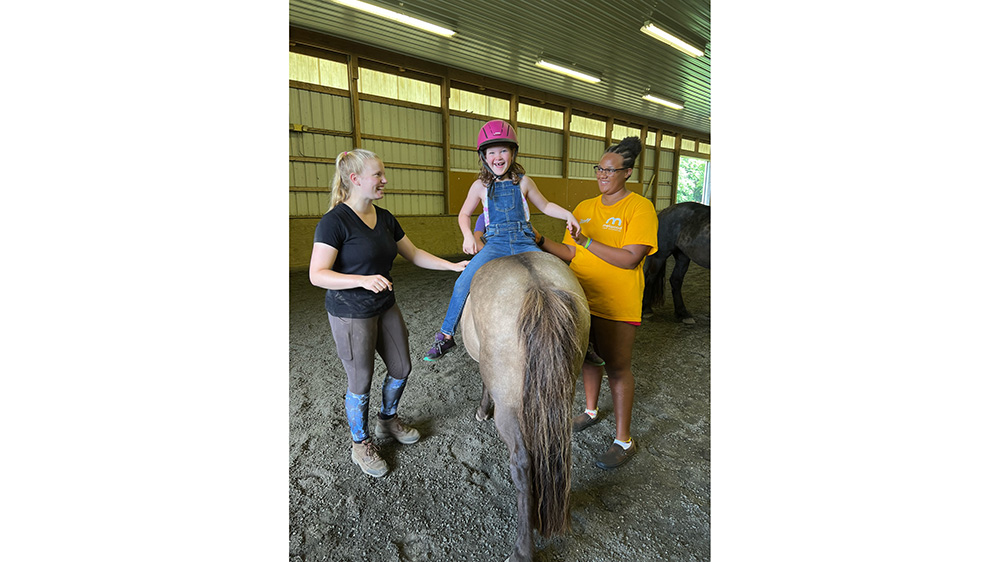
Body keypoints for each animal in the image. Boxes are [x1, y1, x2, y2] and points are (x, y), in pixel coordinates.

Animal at [458, 250, 588, 560]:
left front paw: (482, 411)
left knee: (522, 465)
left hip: (510, 411)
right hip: (560, 397)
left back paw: (523, 549)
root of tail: (539, 289)